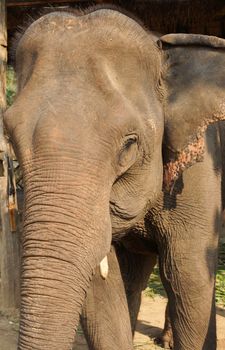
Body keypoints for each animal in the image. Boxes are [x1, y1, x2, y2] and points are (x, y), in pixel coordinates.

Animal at [3, 6, 225, 350]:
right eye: (10, 136)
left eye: (129, 145)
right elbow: (101, 296)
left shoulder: (199, 171)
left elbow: (190, 277)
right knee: (136, 276)